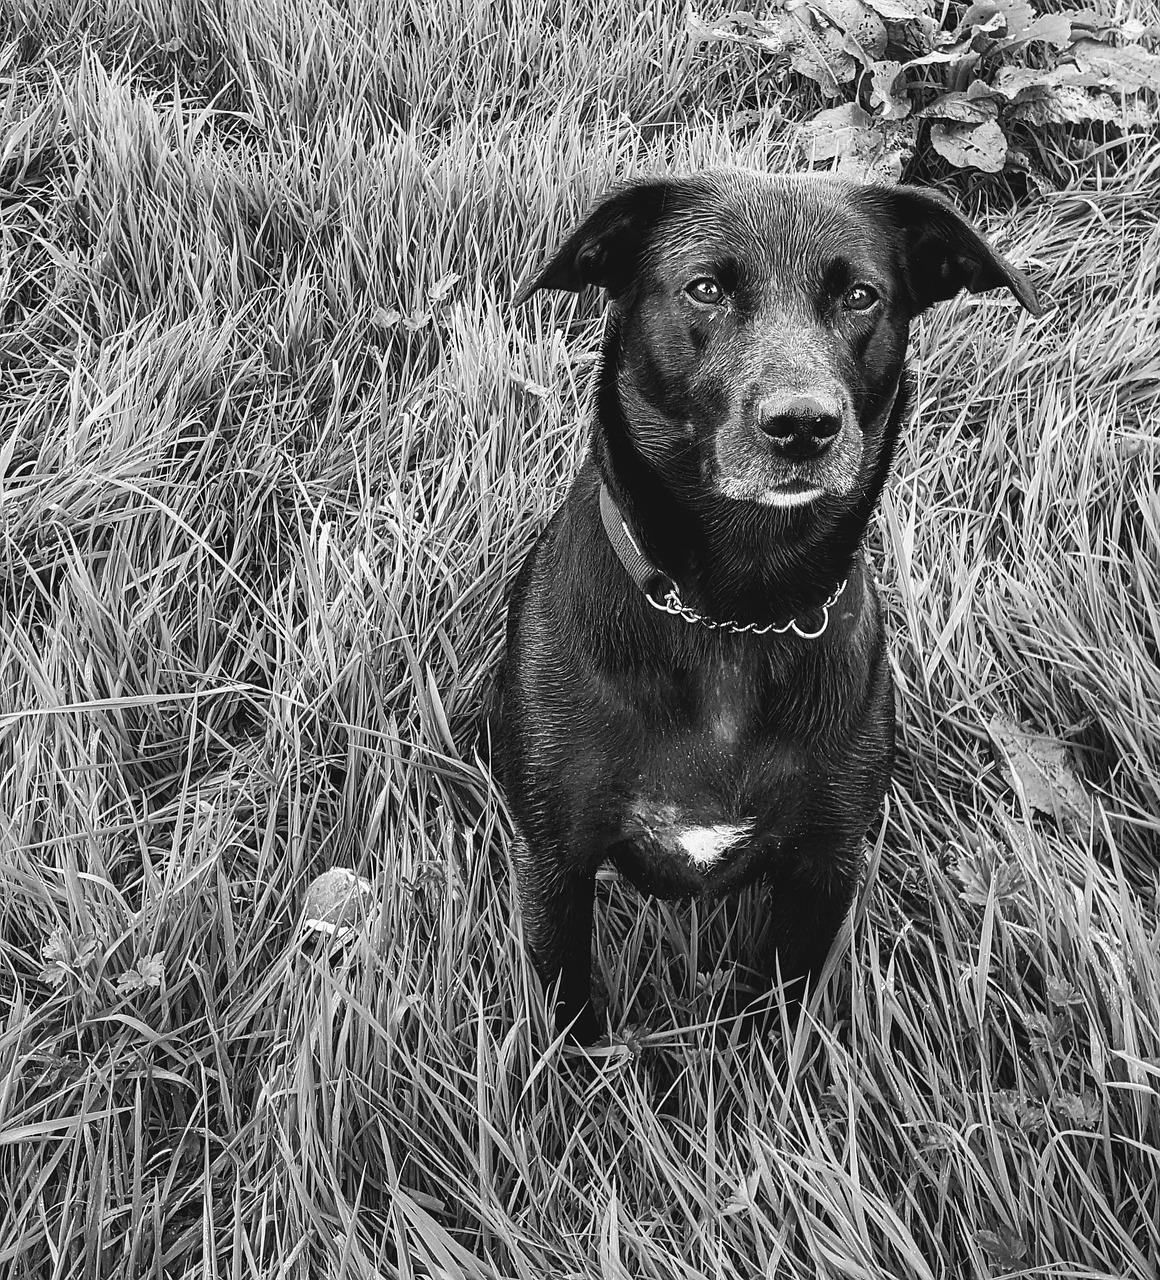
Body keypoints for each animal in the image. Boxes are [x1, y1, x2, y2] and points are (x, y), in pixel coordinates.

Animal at [489, 170, 1039, 1044]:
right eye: (705, 289)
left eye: (860, 295)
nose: (803, 425)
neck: (732, 613)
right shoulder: (553, 862)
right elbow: (568, 1018)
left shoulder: (824, 868)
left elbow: (779, 1019)